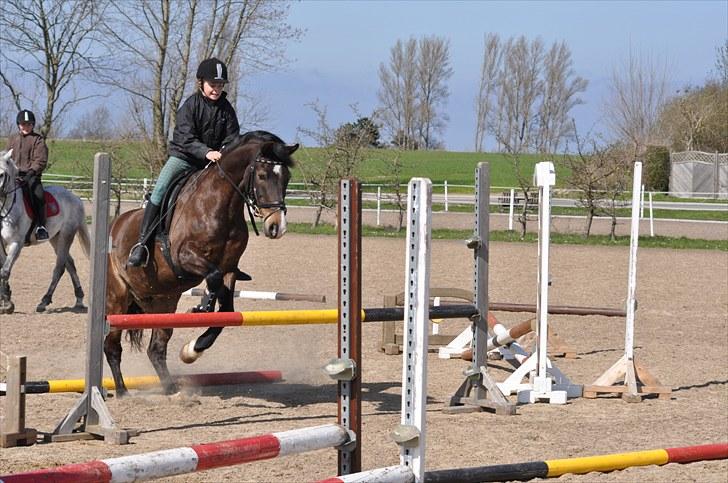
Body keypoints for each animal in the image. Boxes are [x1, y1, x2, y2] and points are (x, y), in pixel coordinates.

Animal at [103, 131, 296, 398]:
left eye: (287, 177)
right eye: (262, 175)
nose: (277, 227)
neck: (221, 205)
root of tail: (116, 225)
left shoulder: (229, 268)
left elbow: (225, 311)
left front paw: (191, 350)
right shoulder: (184, 257)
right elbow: (212, 278)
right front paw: (201, 306)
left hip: (163, 300)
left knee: (156, 348)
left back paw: (171, 389)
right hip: (117, 298)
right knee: (112, 345)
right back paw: (122, 391)